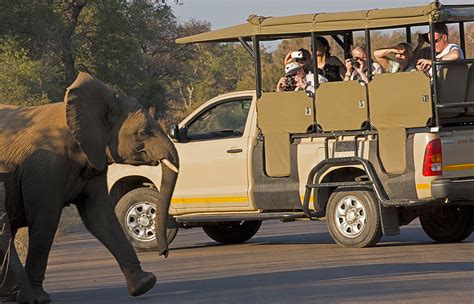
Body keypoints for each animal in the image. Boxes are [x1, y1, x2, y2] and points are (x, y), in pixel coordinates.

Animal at [0, 72, 180, 302]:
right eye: (142, 133)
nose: (163, 253)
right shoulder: (44, 168)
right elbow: (45, 220)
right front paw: (40, 298)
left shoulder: (94, 159)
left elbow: (100, 216)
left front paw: (144, 284)